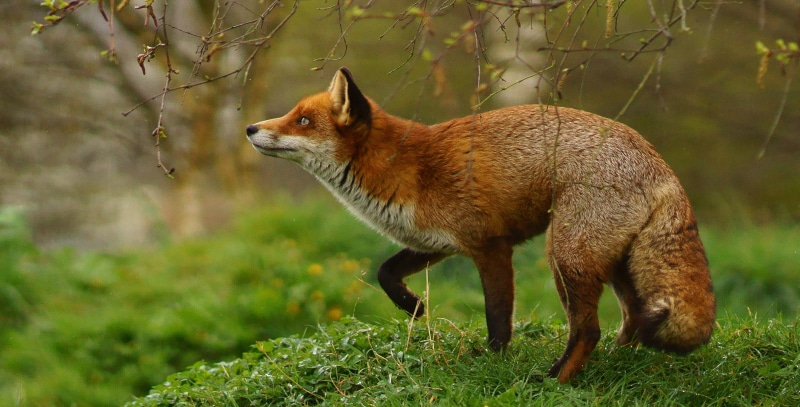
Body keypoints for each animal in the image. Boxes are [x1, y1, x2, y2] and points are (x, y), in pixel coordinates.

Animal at [245, 67, 716, 382]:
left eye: (303, 121)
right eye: (293, 114)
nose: (250, 127)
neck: (407, 169)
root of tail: (658, 162)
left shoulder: (490, 245)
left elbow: (497, 319)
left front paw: (494, 364)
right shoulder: (436, 242)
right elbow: (384, 271)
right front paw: (413, 306)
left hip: (567, 257)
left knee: (588, 329)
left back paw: (554, 380)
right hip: (615, 264)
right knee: (631, 319)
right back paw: (618, 364)